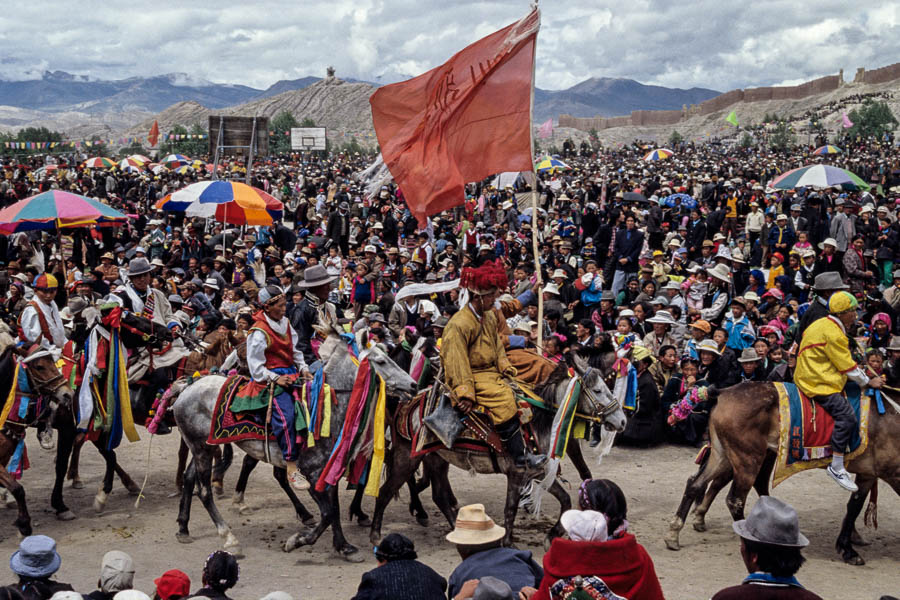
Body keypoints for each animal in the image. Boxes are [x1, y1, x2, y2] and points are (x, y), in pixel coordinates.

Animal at [174, 326, 420, 560]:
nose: (413, 385)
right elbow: (328, 513)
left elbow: (334, 509)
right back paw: (229, 538)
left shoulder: (326, 471)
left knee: (190, 477)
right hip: (201, 448)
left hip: (203, 446)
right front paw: (297, 541)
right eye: (381, 361)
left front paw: (344, 547)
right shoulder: (310, 472)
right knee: (204, 491)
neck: (326, 411)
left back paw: (183, 528)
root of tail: (187, 388)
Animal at [366, 354, 624, 552]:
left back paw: (455, 528)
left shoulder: (538, 473)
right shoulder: (517, 473)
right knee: (386, 491)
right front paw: (508, 542)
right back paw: (376, 535)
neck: (540, 423)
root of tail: (407, 404)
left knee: (438, 495)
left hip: (436, 459)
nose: (621, 421)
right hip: (407, 459)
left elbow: (565, 501)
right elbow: (510, 508)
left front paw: (550, 537)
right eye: (598, 390)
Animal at [664, 382, 896, 564]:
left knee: (696, 483)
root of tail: (723, 392)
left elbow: (854, 506)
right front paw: (849, 549)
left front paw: (849, 546)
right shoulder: (885, 471)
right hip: (748, 458)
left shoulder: (870, 473)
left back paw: (674, 533)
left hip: (724, 454)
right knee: (735, 499)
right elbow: (855, 507)